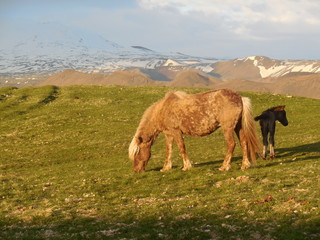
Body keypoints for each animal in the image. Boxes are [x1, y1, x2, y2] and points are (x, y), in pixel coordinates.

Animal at [129, 89, 262, 172]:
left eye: (137, 152)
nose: (136, 170)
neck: (163, 109)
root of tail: (240, 98)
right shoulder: (168, 134)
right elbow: (168, 150)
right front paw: (166, 167)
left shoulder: (176, 132)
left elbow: (181, 148)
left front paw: (186, 166)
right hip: (238, 127)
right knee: (243, 143)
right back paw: (245, 165)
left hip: (228, 128)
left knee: (231, 144)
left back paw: (224, 167)